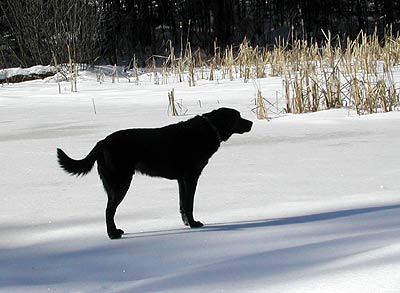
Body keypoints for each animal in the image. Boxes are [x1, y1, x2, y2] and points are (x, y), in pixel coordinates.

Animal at [57, 107, 250, 237]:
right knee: (108, 211)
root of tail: (102, 142)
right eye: (238, 116)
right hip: (120, 183)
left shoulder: (181, 180)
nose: (251, 122)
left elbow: (182, 204)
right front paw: (194, 224)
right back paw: (113, 234)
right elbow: (189, 204)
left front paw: (187, 223)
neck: (209, 129)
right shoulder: (191, 177)